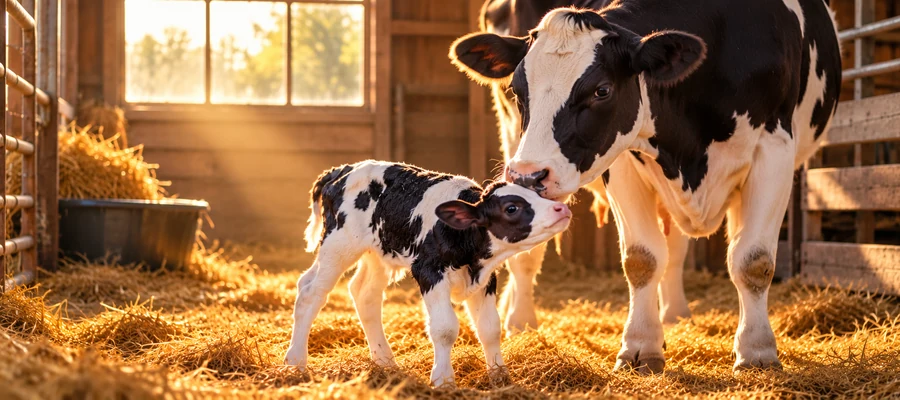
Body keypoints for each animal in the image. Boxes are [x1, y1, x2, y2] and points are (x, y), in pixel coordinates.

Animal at [283, 160, 572, 386]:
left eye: (539, 195)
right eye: (511, 208)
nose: (562, 209)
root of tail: (341, 170)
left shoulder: (485, 279)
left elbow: (490, 327)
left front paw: (499, 376)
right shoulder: (428, 271)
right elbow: (445, 328)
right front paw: (443, 380)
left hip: (377, 253)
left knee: (364, 294)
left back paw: (385, 361)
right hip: (339, 244)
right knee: (310, 291)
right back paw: (295, 362)